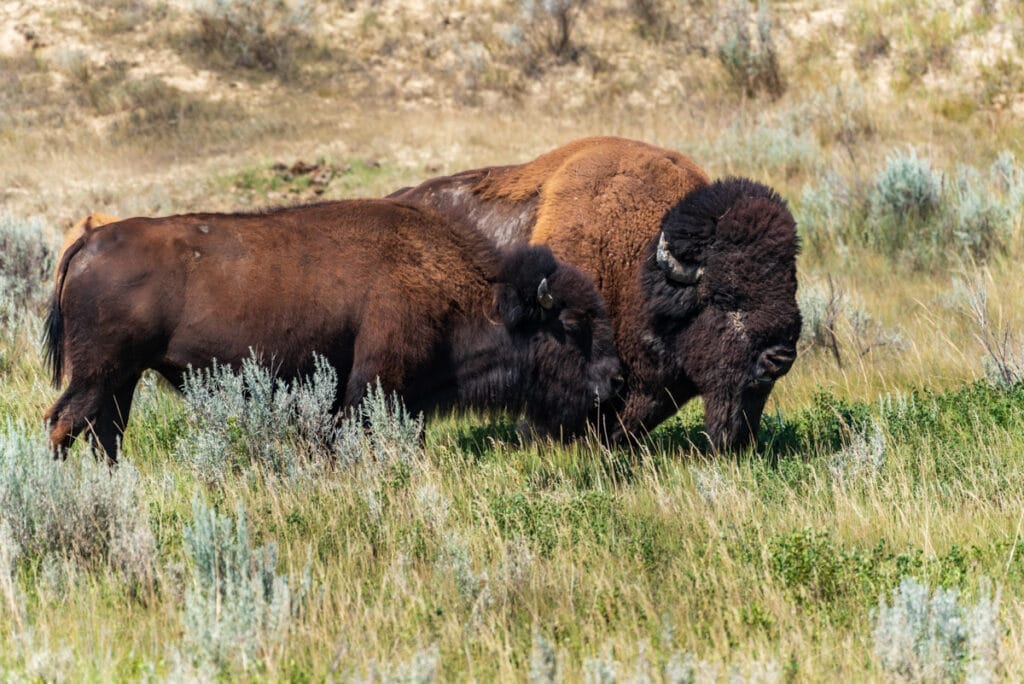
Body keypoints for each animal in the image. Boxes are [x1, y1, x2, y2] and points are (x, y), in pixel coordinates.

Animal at [41, 200, 614, 462]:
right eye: (570, 325)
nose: (616, 382)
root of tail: (89, 242)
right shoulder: (373, 384)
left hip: (122, 378)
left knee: (105, 432)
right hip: (99, 373)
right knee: (64, 423)